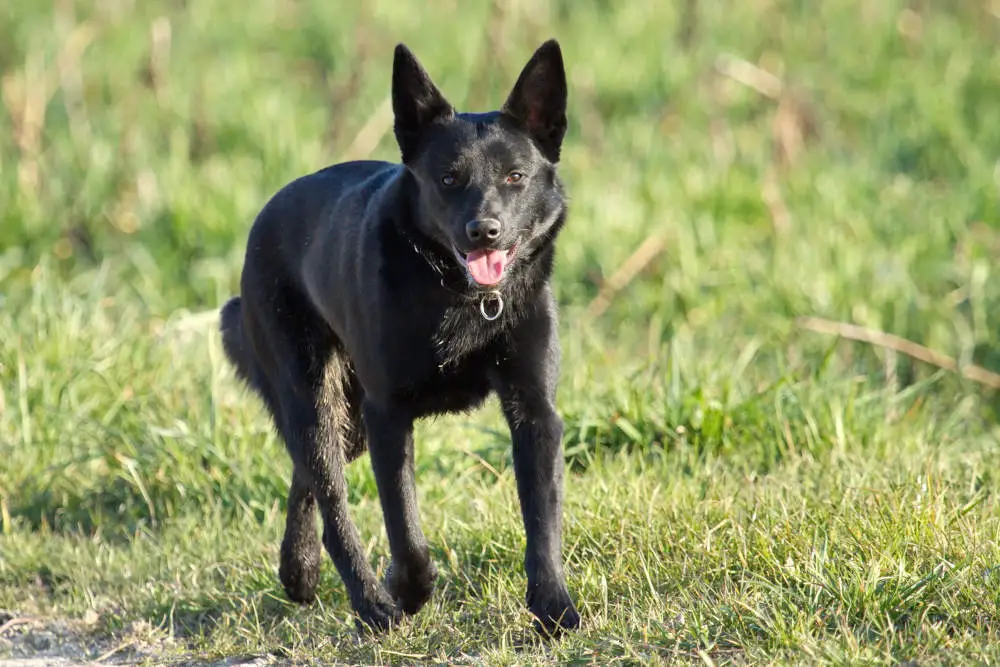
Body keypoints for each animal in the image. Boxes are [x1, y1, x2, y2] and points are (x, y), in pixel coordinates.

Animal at [219, 39, 580, 636]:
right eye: (449, 179)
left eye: (515, 176)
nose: (485, 232)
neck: (461, 296)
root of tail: (265, 218)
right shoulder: (388, 414)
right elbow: (405, 531)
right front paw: (408, 591)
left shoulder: (535, 413)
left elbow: (543, 524)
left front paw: (554, 609)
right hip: (317, 397)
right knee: (332, 500)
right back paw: (370, 604)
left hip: (348, 417)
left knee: (308, 477)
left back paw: (299, 570)